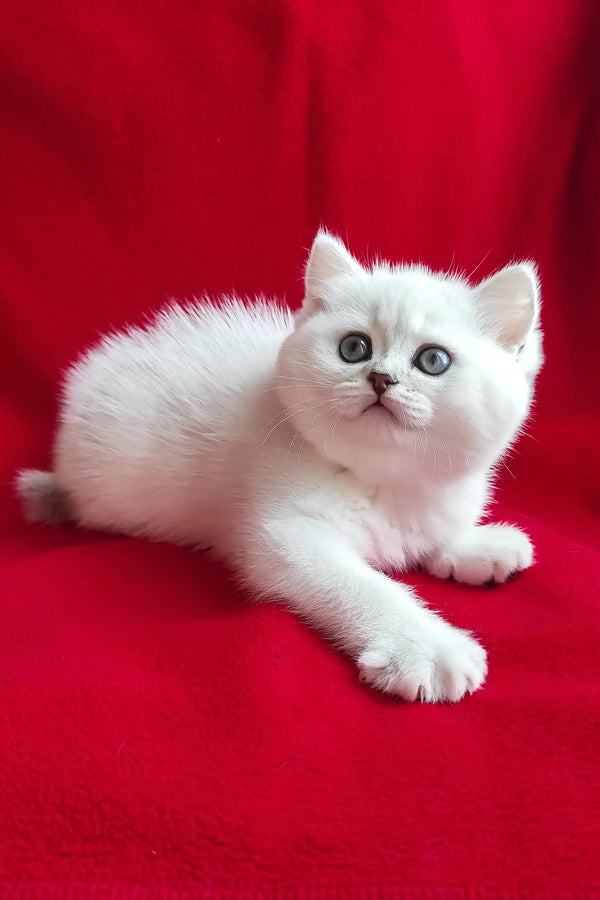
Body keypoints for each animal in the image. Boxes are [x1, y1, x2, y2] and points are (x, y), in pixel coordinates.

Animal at [17, 230, 544, 704]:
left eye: (433, 360)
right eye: (354, 348)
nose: (380, 378)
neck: (387, 481)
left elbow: (434, 536)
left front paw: (477, 546)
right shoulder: (283, 536)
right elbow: (360, 584)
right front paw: (426, 647)